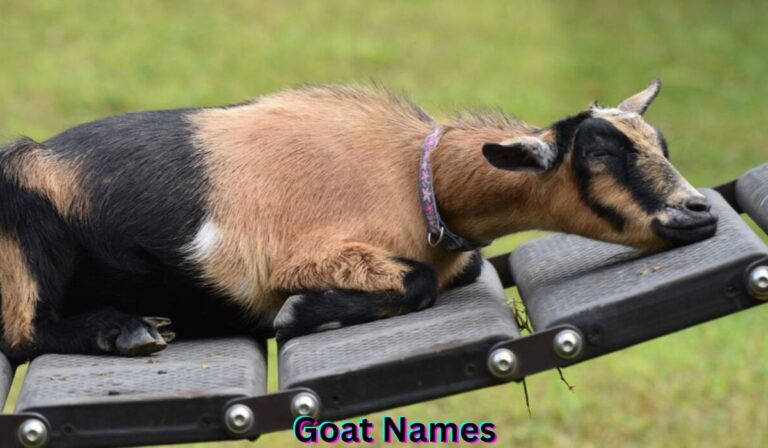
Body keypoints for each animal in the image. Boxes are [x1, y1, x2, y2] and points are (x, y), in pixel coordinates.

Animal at [0, 80, 717, 359]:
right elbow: (416, 282)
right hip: (27, 223)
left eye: (661, 142)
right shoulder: (296, 256)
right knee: (24, 332)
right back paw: (129, 330)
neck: (416, 177)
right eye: (598, 154)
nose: (699, 211)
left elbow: (460, 270)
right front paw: (300, 314)